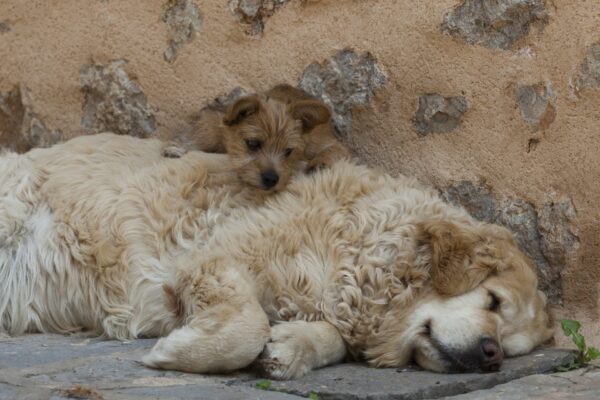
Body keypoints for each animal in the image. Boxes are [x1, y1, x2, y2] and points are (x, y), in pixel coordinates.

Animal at [0, 134, 552, 378]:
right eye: (494, 300)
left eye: (514, 348)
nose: (492, 355)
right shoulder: (212, 256)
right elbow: (246, 324)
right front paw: (178, 352)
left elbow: (324, 336)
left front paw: (291, 347)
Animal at [164, 84, 350, 191]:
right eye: (253, 143)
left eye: (288, 151)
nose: (271, 179)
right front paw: (177, 147)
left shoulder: (328, 143)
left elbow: (334, 150)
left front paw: (321, 162)